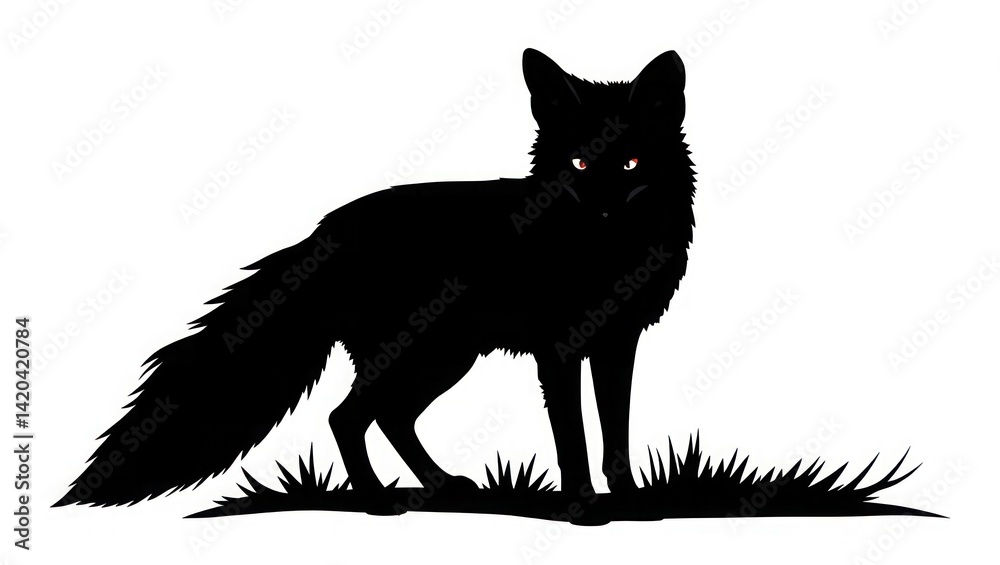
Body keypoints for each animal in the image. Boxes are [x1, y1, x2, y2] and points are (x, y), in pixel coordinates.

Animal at [56, 48, 695, 509]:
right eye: (579, 163)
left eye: (632, 162)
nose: (604, 212)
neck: (600, 255)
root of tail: (323, 232)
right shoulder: (558, 351)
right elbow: (574, 439)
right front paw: (584, 507)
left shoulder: (618, 344)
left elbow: (616, 432)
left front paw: (630, 500)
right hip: (426, 356)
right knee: (349, 417)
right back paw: (375, 500)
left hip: (441, 359)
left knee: (384, 416)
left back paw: (438, 486)